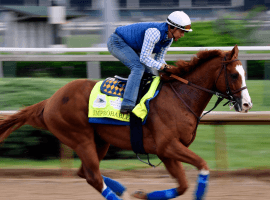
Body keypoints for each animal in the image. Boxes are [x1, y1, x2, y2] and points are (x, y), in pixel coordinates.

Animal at [0, 44, 252, 199]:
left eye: (244, 73)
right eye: (233, 74)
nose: (247, 104)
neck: (180, 97)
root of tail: (49, 101)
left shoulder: (166, 152)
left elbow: (183, 185)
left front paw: (144, 194)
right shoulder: (168, 146)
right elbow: (202, 166)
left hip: (99, 141)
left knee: (85, 173)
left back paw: (121, 189)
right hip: (80, 138)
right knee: (93, 176)